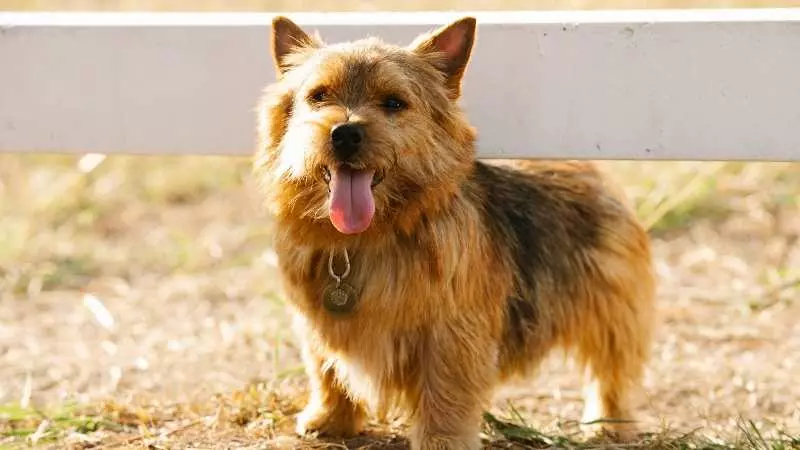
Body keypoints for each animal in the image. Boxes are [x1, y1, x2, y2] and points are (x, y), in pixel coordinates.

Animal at [255, 15, 656, 448]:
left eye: (393, 102)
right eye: (319, 96)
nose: (345, 133)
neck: (366, 237)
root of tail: (584, 165)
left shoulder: (451, 333)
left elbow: (444, 391)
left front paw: (441, 440)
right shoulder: (317, 321)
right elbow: (326, 369)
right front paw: (331, 418)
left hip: (609, 305)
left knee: (612, 367)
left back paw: (609, 422)